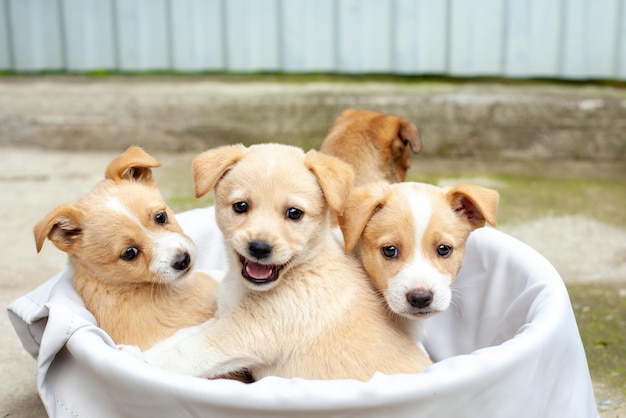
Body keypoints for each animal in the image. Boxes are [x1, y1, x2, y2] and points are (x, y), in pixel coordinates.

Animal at [123, 144, 432, 382]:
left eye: (294, 213)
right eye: (241, 206)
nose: (259, 248)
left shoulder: (243, 333)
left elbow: (186, 352)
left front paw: (139, 363)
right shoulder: (224, 319)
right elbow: (183, 337)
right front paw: (137, 352)